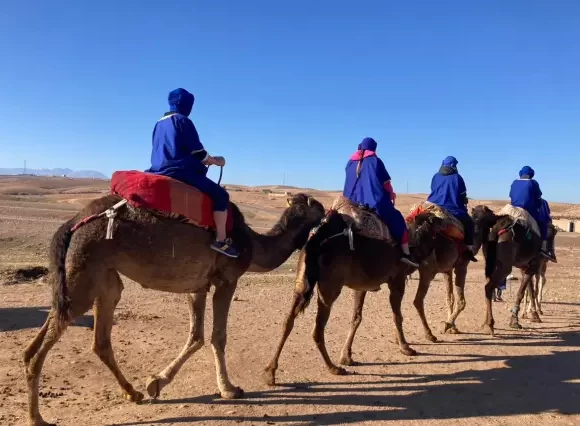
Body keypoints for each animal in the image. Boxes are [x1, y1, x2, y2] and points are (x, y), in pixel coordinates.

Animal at [22, 193, 326, 426]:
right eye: (317, 207)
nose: (328, 212)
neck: (253, 244)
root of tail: (73, 222)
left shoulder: (198, 285)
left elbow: (196, 337)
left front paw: (156, 383)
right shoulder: (227, 279)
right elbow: (218, 336)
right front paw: (229, 389)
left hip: (101, 278)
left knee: (89, 338)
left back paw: (132, 393)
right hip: (84, 270)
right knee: (45, 345)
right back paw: (37, 418)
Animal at [260, 206, 442, 386]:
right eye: (437, 220)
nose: (444, 221)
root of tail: (316, 242)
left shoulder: (361, 287)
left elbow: (356, 318)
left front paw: (346, 356)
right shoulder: (397, 280)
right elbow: (397, 316)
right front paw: (406, 347)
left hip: (302, 280)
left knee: (288, 320)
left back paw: (269, 373)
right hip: (330, 287)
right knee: (317, 328)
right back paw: (333, 368)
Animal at [472, 205, 548, 334]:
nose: (476, 229)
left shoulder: (525, 267)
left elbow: (530, 290)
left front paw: (534, 315)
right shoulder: (533, 265)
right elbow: (522, 292)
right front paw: (515, 321)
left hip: (491, 263)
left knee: (488, 286)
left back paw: (486, 324)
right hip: (506, 266)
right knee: (489, 287)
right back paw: (490, 324)